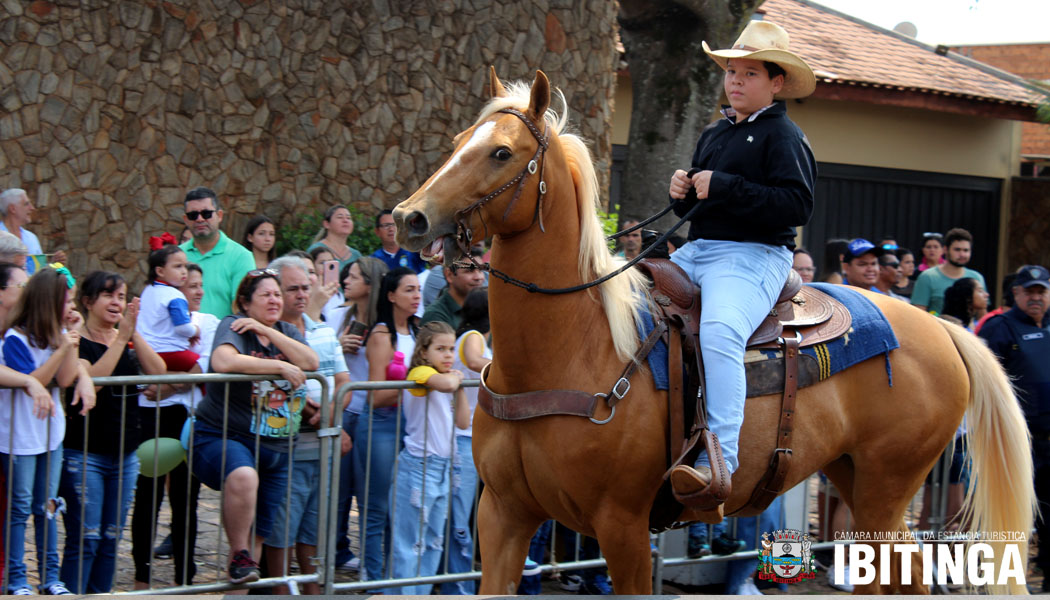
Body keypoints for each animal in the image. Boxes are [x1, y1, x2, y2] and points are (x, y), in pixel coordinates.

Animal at [392, 69, 1033, 596]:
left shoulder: (621, 526)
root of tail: (944, 330)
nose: (408, 217)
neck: (572, 348)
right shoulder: (503, 517)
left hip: (885, 486)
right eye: (458, 143)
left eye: (502, 152)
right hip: (856, 476)